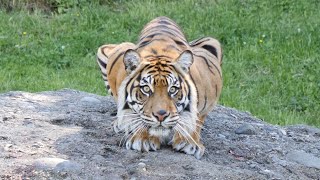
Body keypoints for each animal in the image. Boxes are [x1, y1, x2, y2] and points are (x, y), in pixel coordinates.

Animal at [97, 16, 222, 158]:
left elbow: (196, 118)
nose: (161, 115)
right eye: (146, 89)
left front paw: (188, 142)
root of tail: (162, 18)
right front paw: (143, 139)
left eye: (173, 89)